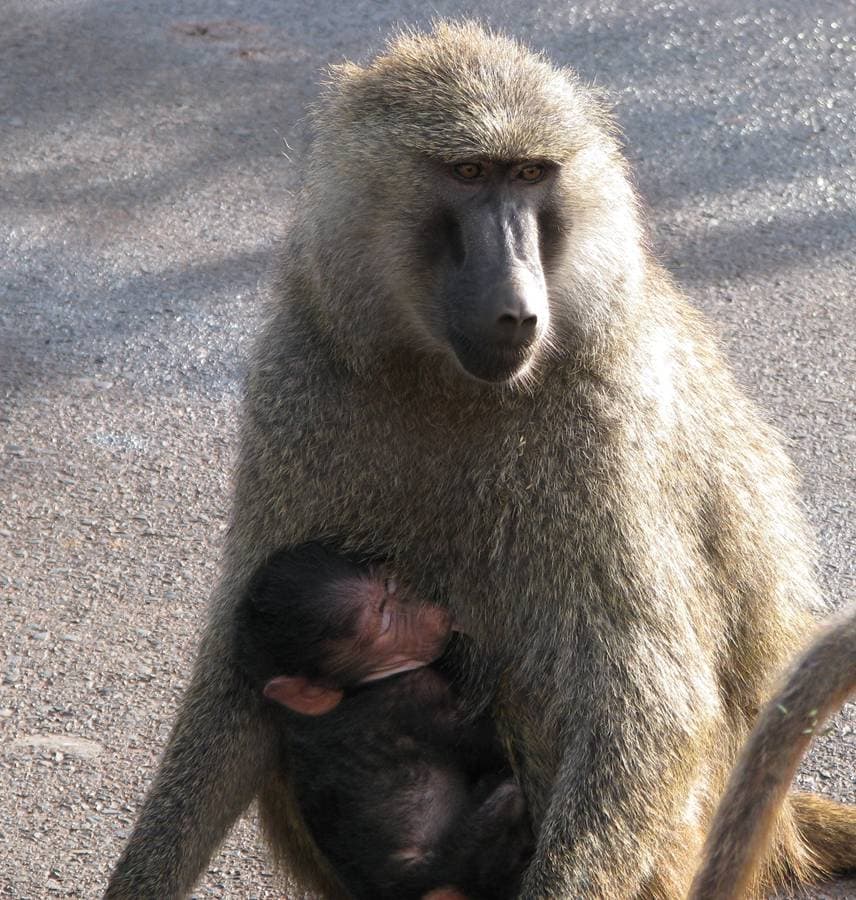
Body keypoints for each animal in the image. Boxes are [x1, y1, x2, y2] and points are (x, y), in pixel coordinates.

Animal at [234, 541, 533, 900]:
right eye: (384, 620)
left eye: (389, 589)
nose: (427, 612)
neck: (354, 690)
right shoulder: (415, 694)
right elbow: (492, 749)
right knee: (508, 800)